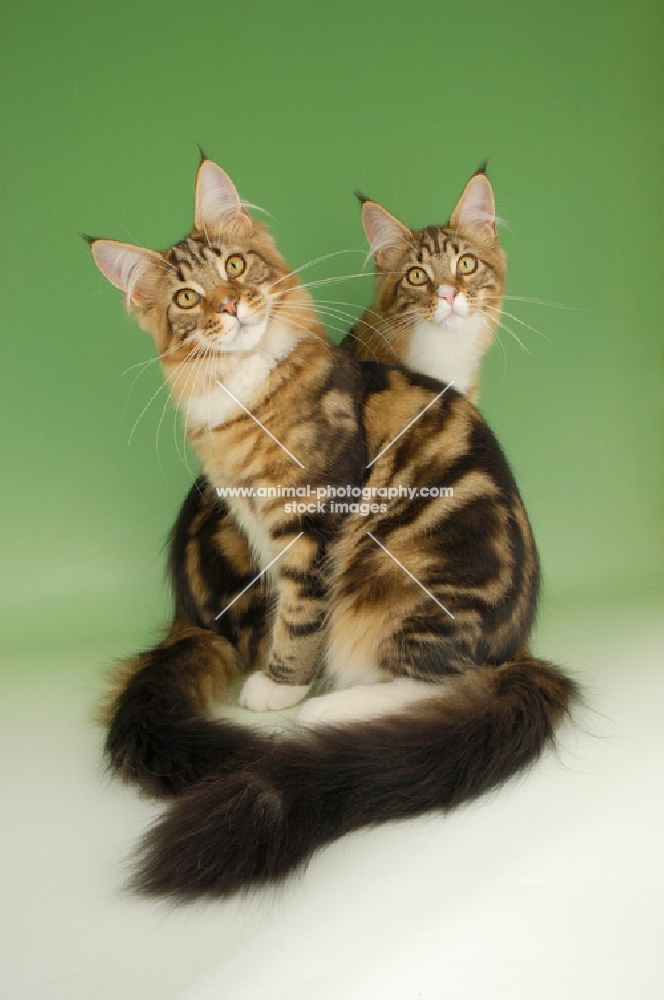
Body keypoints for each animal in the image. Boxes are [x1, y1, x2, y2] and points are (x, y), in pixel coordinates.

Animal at [89, 158, 576, 900]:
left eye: (236, 266)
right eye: (187, 299)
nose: (231, 307)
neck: (245, 393)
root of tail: (516, 647)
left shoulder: (313, 520)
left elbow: (302, 612)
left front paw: (282, 687)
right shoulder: (259, 523)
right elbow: (288, 606)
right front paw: (280, 673)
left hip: (406, 585)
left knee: (446, 683)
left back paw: (329, 712)